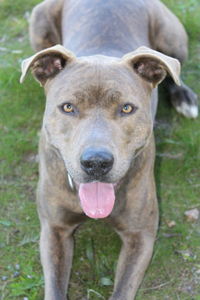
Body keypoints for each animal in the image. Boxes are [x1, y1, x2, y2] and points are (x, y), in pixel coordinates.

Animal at [19, 0, 198, 300]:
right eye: (68, 107)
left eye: (126, 108)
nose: (96, 163)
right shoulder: (54, 229)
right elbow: (54, 288)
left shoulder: (140, 235)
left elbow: (123, 289)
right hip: (39, 18)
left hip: (171, 39)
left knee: (176, 74)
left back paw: (184, 97)